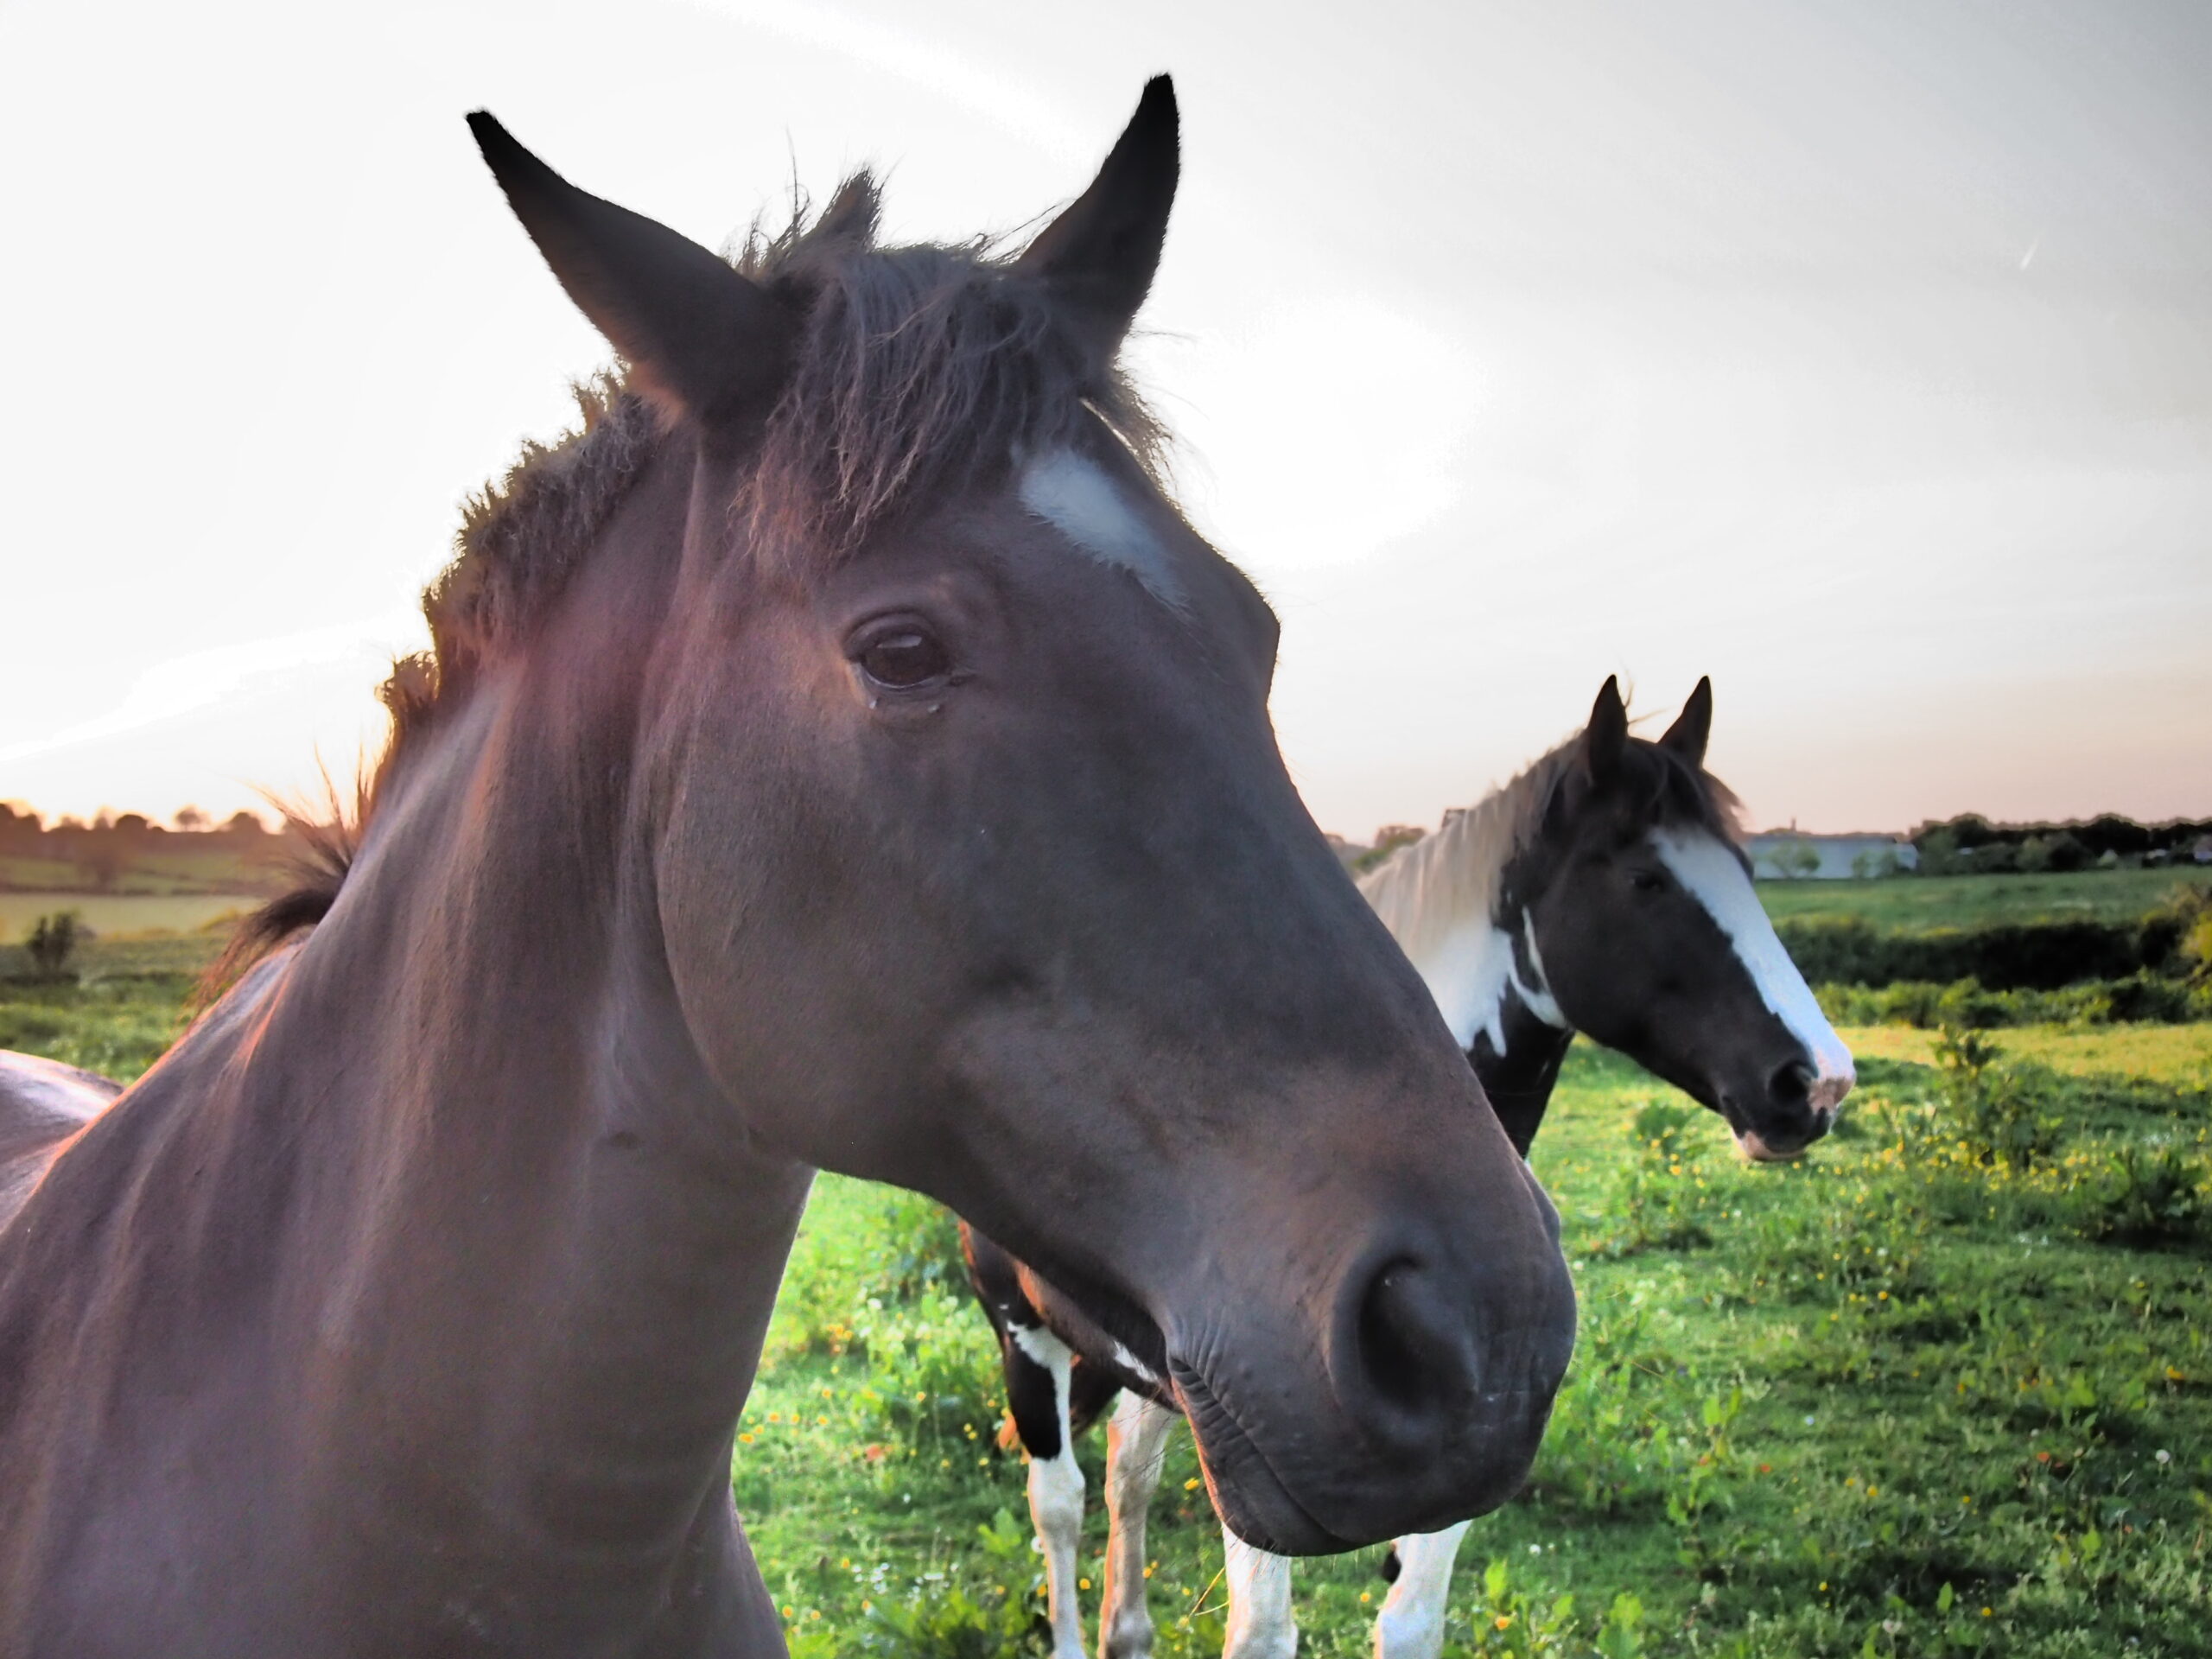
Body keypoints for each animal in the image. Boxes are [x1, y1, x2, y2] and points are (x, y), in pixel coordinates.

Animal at [964, 677, 1849, 1659]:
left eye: (1747, 872)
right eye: (1645, 880)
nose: (1815, 1081)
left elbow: (1411, 1618)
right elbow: (1261, 1632)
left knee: (1128, 1474)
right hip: (1021, 1329)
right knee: (1059, 1503)